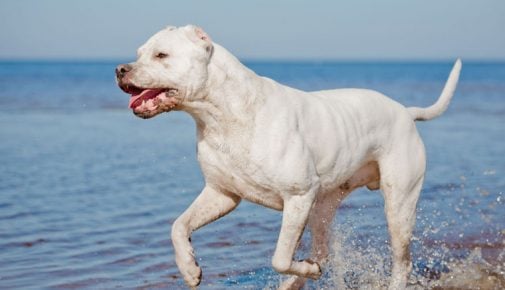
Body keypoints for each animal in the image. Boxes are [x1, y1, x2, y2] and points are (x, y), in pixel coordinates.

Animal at [115, 25, 460, 290]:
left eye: (161, 55)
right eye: (139, 53)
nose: (120, 69)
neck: (221, 115)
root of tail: (406, 112)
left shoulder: (298, 196)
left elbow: (280, 257)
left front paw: (299, 269)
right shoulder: (221, 194)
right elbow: (178, 226)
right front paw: (189, 268)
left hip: (398, 204)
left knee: (401, 260)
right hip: (323, 206)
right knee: (321, 251)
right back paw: (298, 279)